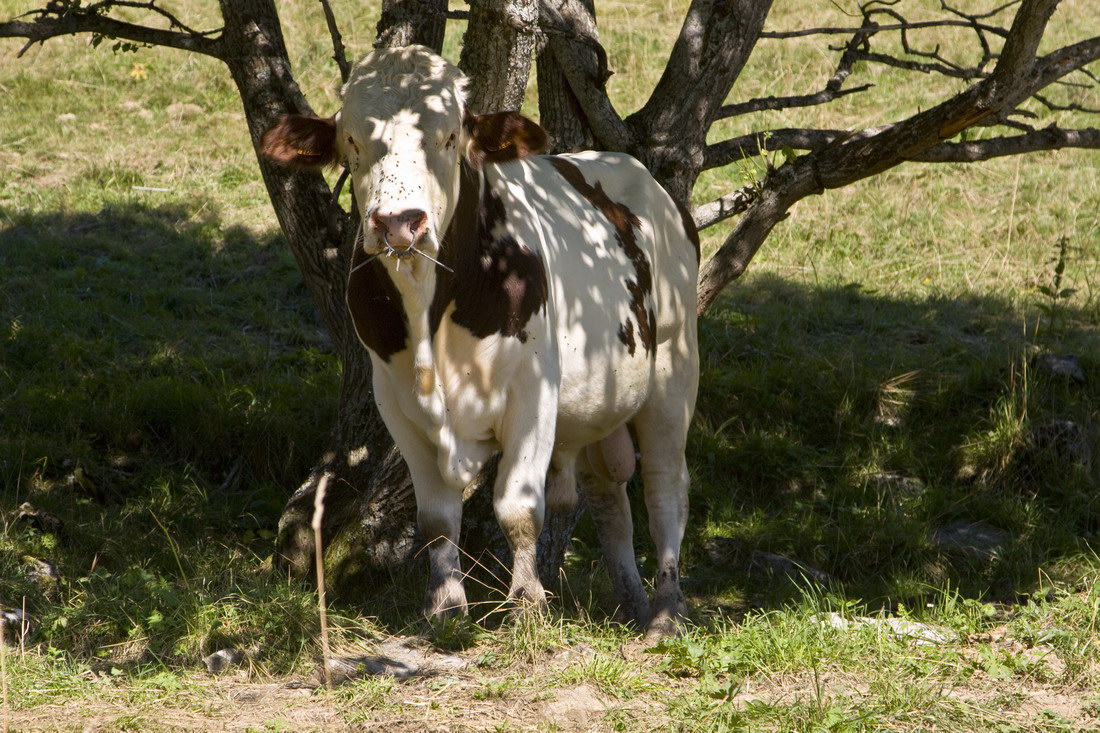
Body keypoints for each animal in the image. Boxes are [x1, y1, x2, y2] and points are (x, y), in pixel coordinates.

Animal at [261, 45, 699, 633]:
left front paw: (527, 605)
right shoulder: (394, 401)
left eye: (449, 137)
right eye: (351, 140)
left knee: (664, 487)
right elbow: (436, 520)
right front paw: (445, 608)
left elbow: (518, 507)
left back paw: (665, 613)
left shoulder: (532, 391)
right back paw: (629, 600)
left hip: (674, 365)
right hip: (597, 402)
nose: (399, 223)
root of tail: (626, 166)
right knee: (609, 495)